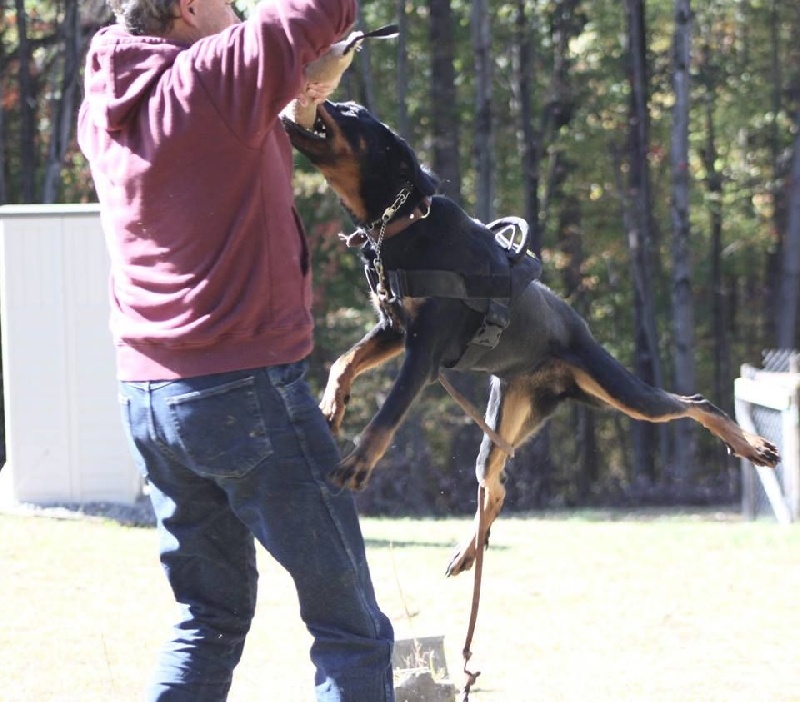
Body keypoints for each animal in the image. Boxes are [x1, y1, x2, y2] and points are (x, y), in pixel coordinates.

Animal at [280, 102, 776, 580]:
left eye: (350, 112)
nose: (314, 96)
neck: (400, 224)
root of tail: (559, 375)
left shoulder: (423, 348)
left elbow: (387, 414)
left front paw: (357, 463)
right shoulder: (395, 329)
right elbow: (345, 360)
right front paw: (331, 406)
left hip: (622, 392)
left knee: (693, 402)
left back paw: (752, 446)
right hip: (505, 422)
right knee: (495, 486)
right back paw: (467, 552)